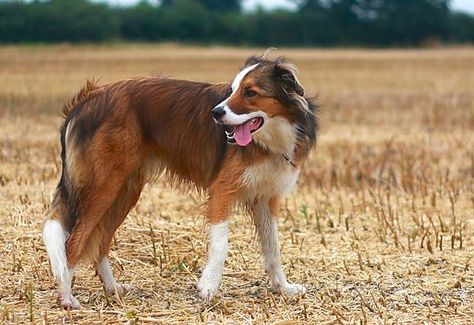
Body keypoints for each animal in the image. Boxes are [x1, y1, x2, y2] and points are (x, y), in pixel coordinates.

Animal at [43, 52, 318, 306]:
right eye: (232, 90)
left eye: (250, 92)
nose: (215, 112)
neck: (270, 138)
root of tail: (89, 96)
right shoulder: (222, 191)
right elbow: (221, 245)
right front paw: (208, 288)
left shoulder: (266, 198)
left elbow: (273, 249)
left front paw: (283, 288)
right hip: (104, 188)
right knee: (72, 243)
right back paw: (66, 298)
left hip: (124, 191)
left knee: (99, 243)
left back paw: (112, 289)